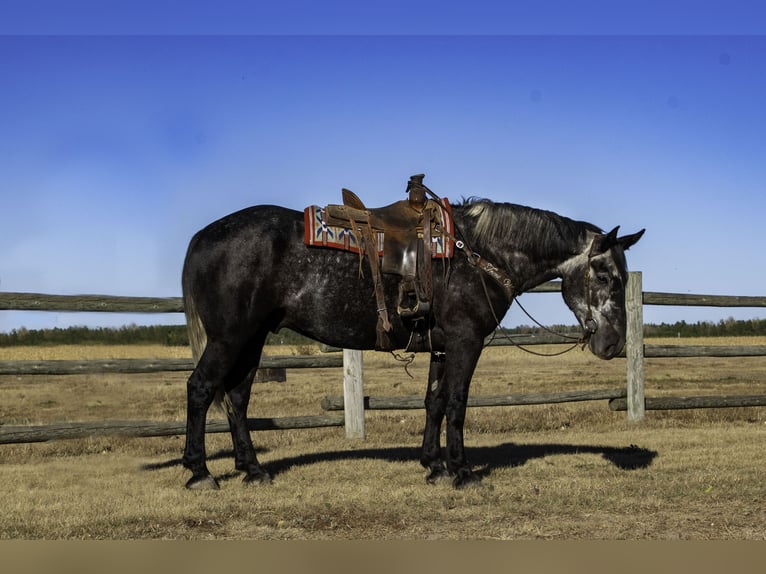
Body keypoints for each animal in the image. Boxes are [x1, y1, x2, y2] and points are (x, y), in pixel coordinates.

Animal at [183, 189, 644, 490]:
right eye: (605, 275)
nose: (613, 344)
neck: (478, 254)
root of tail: (202, 237)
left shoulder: (441, 344)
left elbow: (434, 401)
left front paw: (434, 466)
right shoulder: (465, 341)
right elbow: (456, 403)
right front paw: (462, 472)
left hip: (253, 339)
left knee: (237, 397)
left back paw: (253, 469)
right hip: (230, 337)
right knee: (201, 388)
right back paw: (200, 473)